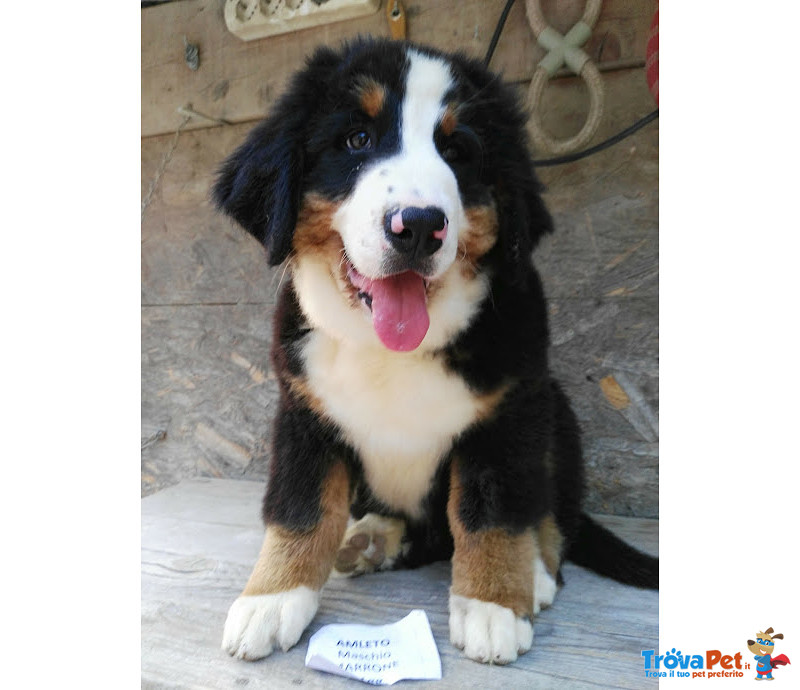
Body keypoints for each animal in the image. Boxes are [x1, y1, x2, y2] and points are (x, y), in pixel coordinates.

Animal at [212, 39, 656, 668]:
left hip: (555, 411)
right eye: (357, 139)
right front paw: (272, 598)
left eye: (458, 151)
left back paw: (537, 572)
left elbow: (493, 512)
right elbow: (300, 509)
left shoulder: (508, 413)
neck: (388, 351)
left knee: (553, 511)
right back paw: (374, 539)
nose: (419, 226)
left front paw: (493, 604)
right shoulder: (304, 413)